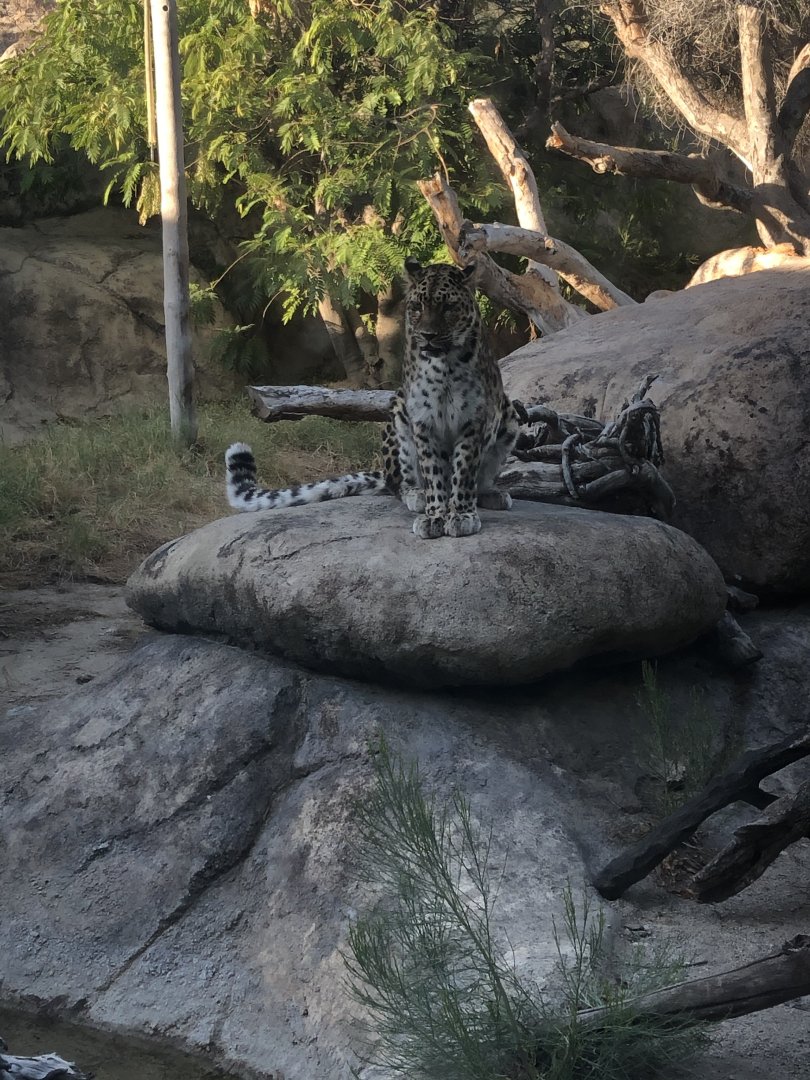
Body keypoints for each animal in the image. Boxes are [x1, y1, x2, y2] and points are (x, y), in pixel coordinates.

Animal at [225, 257, 522, 539]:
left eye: (448, 307)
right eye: (417, 307)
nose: (428, 336)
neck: (445, 364)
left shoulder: (473, 421)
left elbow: (464, 472)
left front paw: (460, 514)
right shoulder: (423, 422)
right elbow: (434, 473)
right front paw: (436, 515)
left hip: (509, 415)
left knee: (478, 479)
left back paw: (492, 494)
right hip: (398, 414)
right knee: (397, 482)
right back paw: (417, 495)